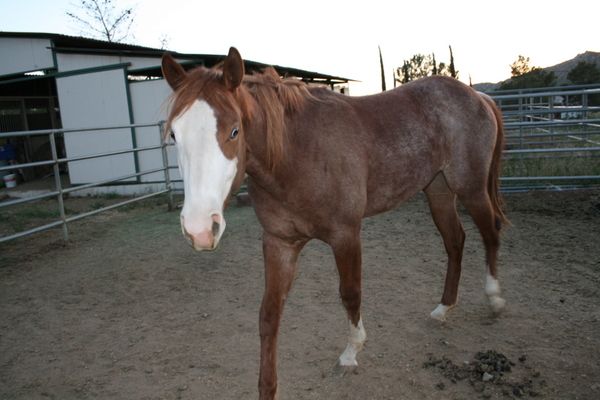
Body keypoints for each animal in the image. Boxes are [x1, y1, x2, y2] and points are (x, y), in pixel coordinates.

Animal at [161, 47, 507, 400]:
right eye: (174, 133)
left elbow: (350, 292)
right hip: (438, 190)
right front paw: (267, 387)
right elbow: (269, 315)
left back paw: (494, 299)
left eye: (234, 131)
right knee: (455, 241)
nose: (200, 229)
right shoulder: (279, 243)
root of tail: (477, 96)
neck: (297, 154)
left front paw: (351, 352)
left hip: (470, 187)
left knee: (490, 232)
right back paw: (443, 309)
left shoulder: (346, 235)